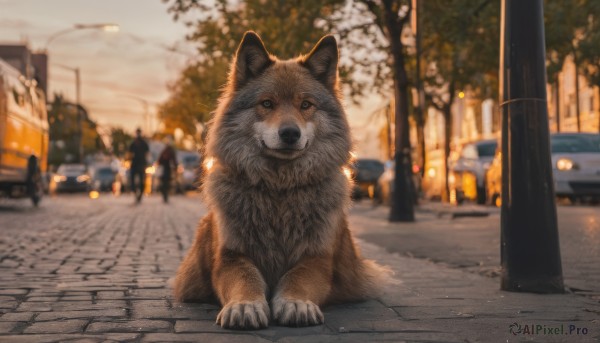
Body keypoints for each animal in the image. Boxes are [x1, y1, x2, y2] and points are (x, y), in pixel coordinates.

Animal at [173, 31, 390, 330]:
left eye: (305, 105)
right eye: (267, 104)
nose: (289, 133)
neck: (280, 190)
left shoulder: (318, 259)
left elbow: (297, 278)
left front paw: (296, 303)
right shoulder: (228, 258)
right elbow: (245, 279)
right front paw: (245, 306)